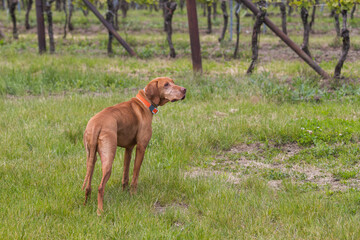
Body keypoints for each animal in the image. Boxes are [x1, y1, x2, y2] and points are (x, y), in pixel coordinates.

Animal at [82, 77, 187, 214]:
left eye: (173, 82)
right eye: (166, 85)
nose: (184, 90)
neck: (145, 102)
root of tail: (96, 125)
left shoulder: (129, 149)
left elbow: (125, 176)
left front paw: (124, 194)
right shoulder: (141, 147)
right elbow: (135, 175)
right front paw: (133, 194)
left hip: (91, 158)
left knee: (88, 186)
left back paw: (86, 205)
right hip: (108, 158)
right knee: (100, 187)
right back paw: (100, 211)